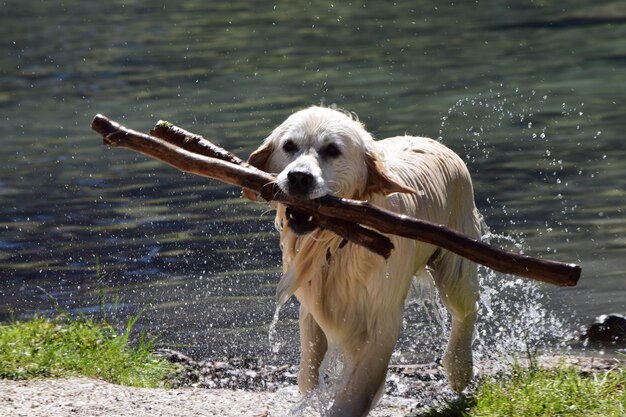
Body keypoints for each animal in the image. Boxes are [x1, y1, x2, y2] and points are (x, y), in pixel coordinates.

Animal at [241, 106, 480, 416]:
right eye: (289, 146)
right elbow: (309, 371)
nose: (299, 177)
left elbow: (357, 389)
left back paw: (459, 368)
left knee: (466, 311)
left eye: (332, 150)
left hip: (455, 265)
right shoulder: (313, 304)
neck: (338, 243)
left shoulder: (382, 319)